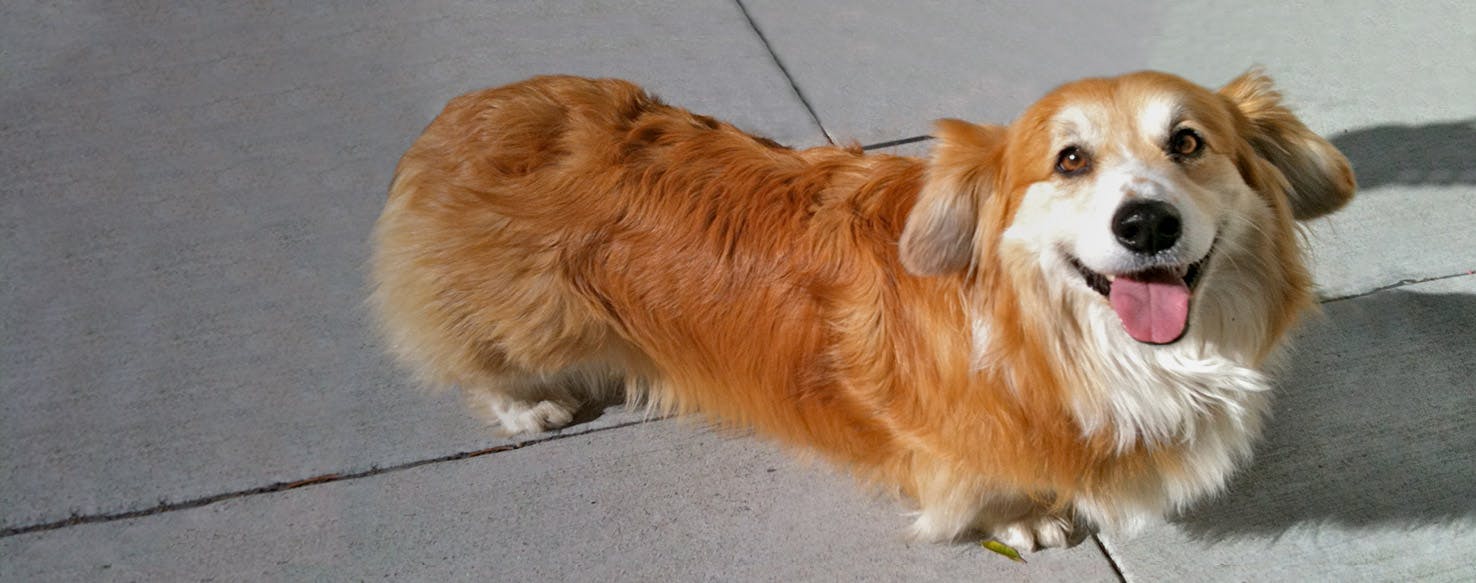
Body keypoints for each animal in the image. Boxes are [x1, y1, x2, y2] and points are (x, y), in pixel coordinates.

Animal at [366, 70, 1352, 549]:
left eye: (1188, 143)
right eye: (1069, 160)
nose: (1146, 223)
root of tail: (464, 115)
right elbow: (984, 485)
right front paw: (1025, 519)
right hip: (525, 315)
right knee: (476, 359)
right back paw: (527, 402)